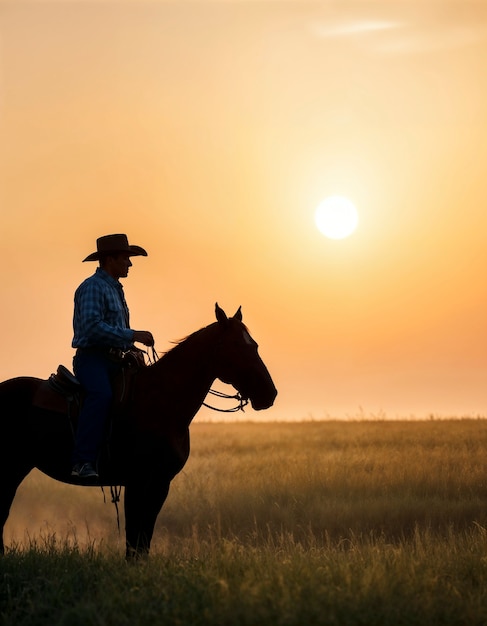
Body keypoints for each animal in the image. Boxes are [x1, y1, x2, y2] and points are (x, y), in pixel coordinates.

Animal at [0, 302, 276, 556]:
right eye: (237, 346)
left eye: (255, 345)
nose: (269, 394)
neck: (161, 401)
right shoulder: (136, 480)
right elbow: (134, 537)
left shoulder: (160, 483)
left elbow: (144, 537)